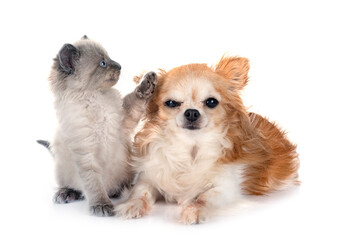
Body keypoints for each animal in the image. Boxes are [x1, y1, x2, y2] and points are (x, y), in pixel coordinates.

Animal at [47, 36, 157, 218]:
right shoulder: (85, 153)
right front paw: (102, 205)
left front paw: (147, 82)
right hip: (61, 167)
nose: (119, 65)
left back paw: (121, 190)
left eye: (109, 58)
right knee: (72, 186)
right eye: (103, 63)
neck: (95, 98)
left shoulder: (124, 120)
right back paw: (66, 194)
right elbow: (94, 184)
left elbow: (136, 98)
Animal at [115, 55, 298, 223]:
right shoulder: (149, 178)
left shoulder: (227, 188)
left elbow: (205, 197)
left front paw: (194, 210)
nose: (191, 112)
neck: (191, 148)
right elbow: (141, 192)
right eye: (171, 103)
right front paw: (132, 205)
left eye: (211, 102)